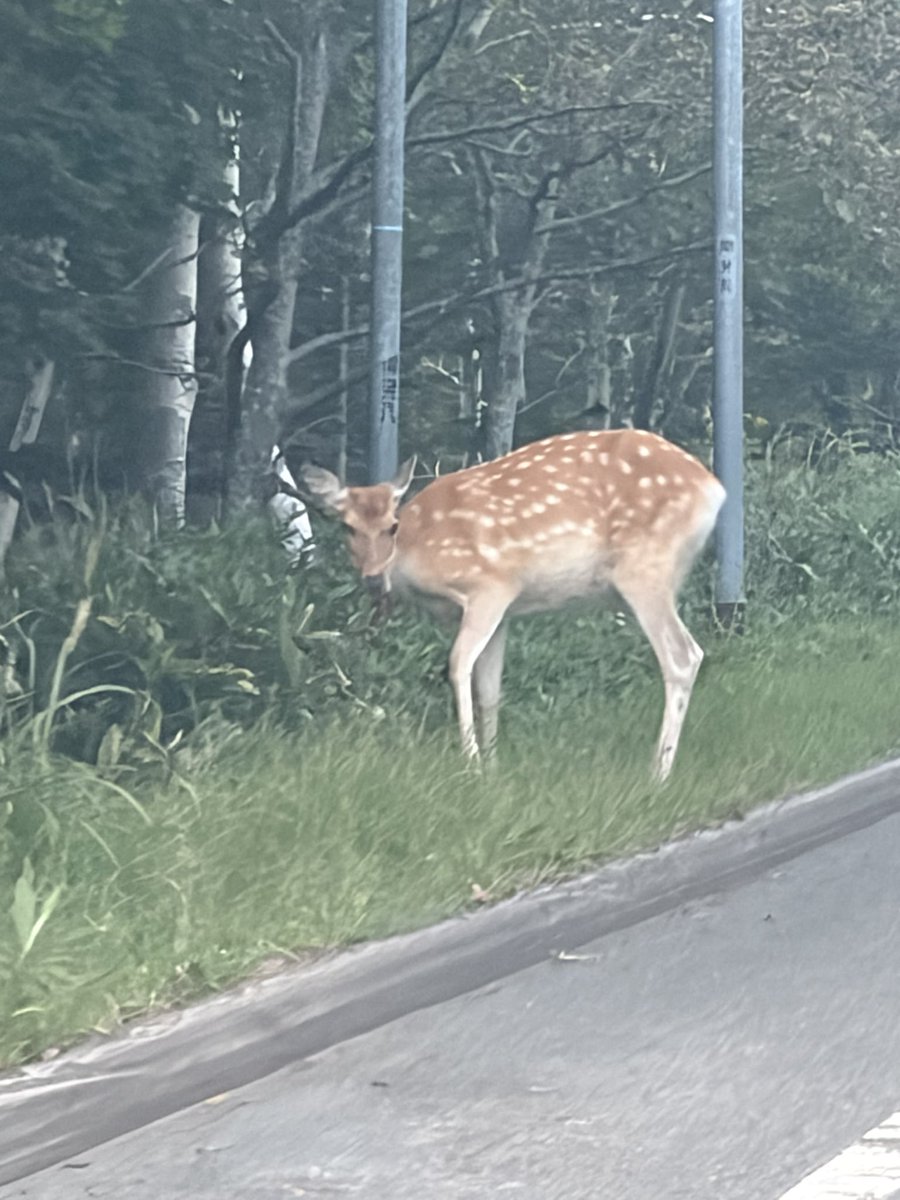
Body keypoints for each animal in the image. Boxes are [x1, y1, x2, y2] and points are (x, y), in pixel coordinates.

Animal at [301, 429, 725, 781]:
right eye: (347, 526)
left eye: (391, 525)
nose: (373, 578)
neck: (417, 550)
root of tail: (713, 488)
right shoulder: (504, 613)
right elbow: (490, 686)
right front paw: (492, 764)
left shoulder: (491, 585)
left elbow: (458, 665)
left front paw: (471, 763)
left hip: (644, 566)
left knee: (682, 655)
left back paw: (658, 772)